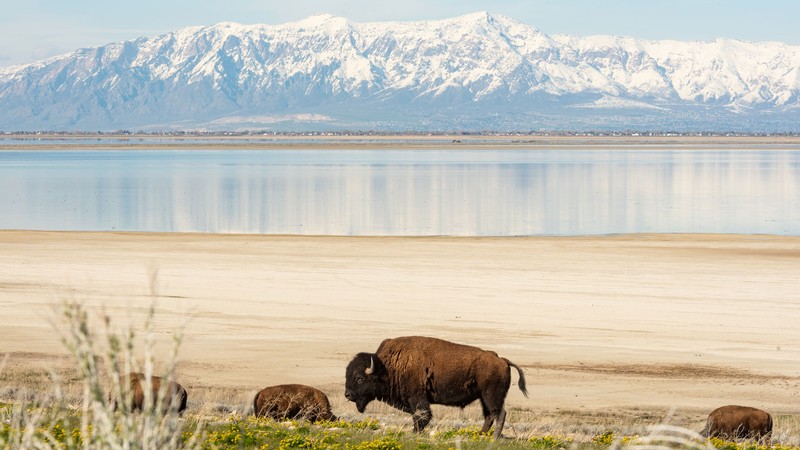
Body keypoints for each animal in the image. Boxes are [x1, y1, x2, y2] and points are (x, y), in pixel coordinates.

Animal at [345, 336, 527, 438]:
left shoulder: (417, 397)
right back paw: (481, 434)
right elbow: (418, 416)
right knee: (489, 416)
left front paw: (415, 432)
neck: (385, 367)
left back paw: (494, 437)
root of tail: (502, 360)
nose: (347, 394)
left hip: (492, 396)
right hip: (483, 397)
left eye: (359, 378)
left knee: (499, 414)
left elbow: (421, 416)